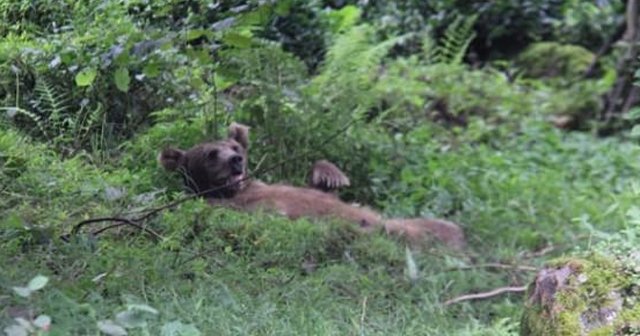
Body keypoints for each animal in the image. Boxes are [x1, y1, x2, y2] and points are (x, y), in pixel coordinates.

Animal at [156, 122, 464, 248]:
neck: (237, 190)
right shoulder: (223, 207)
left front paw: (330, 175)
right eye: (211, 154)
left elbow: (317, 186)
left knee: (442, 225)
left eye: (234, 146)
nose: (235, 160)